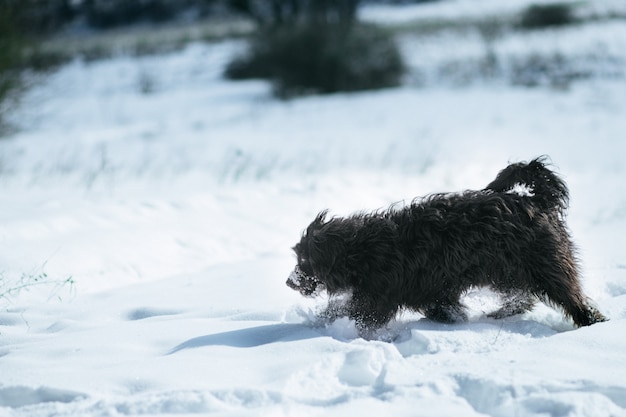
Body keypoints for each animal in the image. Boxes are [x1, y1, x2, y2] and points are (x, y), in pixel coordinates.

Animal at [286, 157, 604, 334]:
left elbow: (357, 313)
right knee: (523, 296)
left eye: (304, 262)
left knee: (572, 298)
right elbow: (443, 307)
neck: (363, 251)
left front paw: (323, 323)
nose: (289, 282)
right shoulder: (431, 290)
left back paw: (592, 322)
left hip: (546, 264)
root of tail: (537, 201)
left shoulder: (380, 295)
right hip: (506, 269)